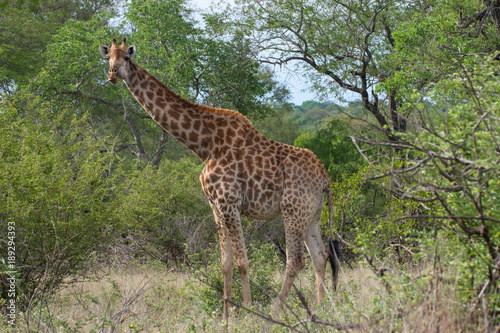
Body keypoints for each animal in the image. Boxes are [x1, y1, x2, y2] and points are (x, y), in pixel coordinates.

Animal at [99, 37, 338, 318]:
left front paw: (247, 311)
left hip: (292, 210)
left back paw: (275, 311)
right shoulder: (215, 206)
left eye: (127, 57)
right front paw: (226, 316)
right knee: (320, 256)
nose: (112, 74)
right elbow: (225, 263)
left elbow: (243, 261)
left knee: (296, 260)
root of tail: (324, 175)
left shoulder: (229, 202)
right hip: (312, 214)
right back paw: (323, 309)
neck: (205, 145)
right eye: (107, 58)